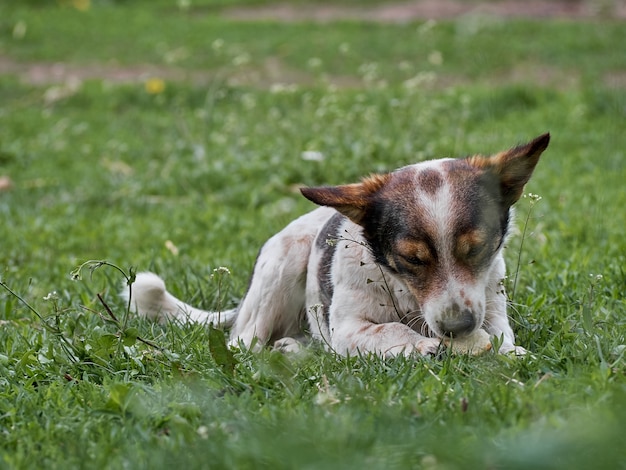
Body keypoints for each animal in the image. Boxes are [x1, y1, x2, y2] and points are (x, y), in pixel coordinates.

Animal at [124, 132, 548, 356]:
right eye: (411, 259)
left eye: (476, 250)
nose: (458, 328)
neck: (404, 294)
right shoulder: (348, 329)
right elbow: (389, 331)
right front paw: (422, 345)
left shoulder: (490, 309)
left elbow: (499, 336)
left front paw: (507, 352)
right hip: (282, 266)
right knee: (244, 345)